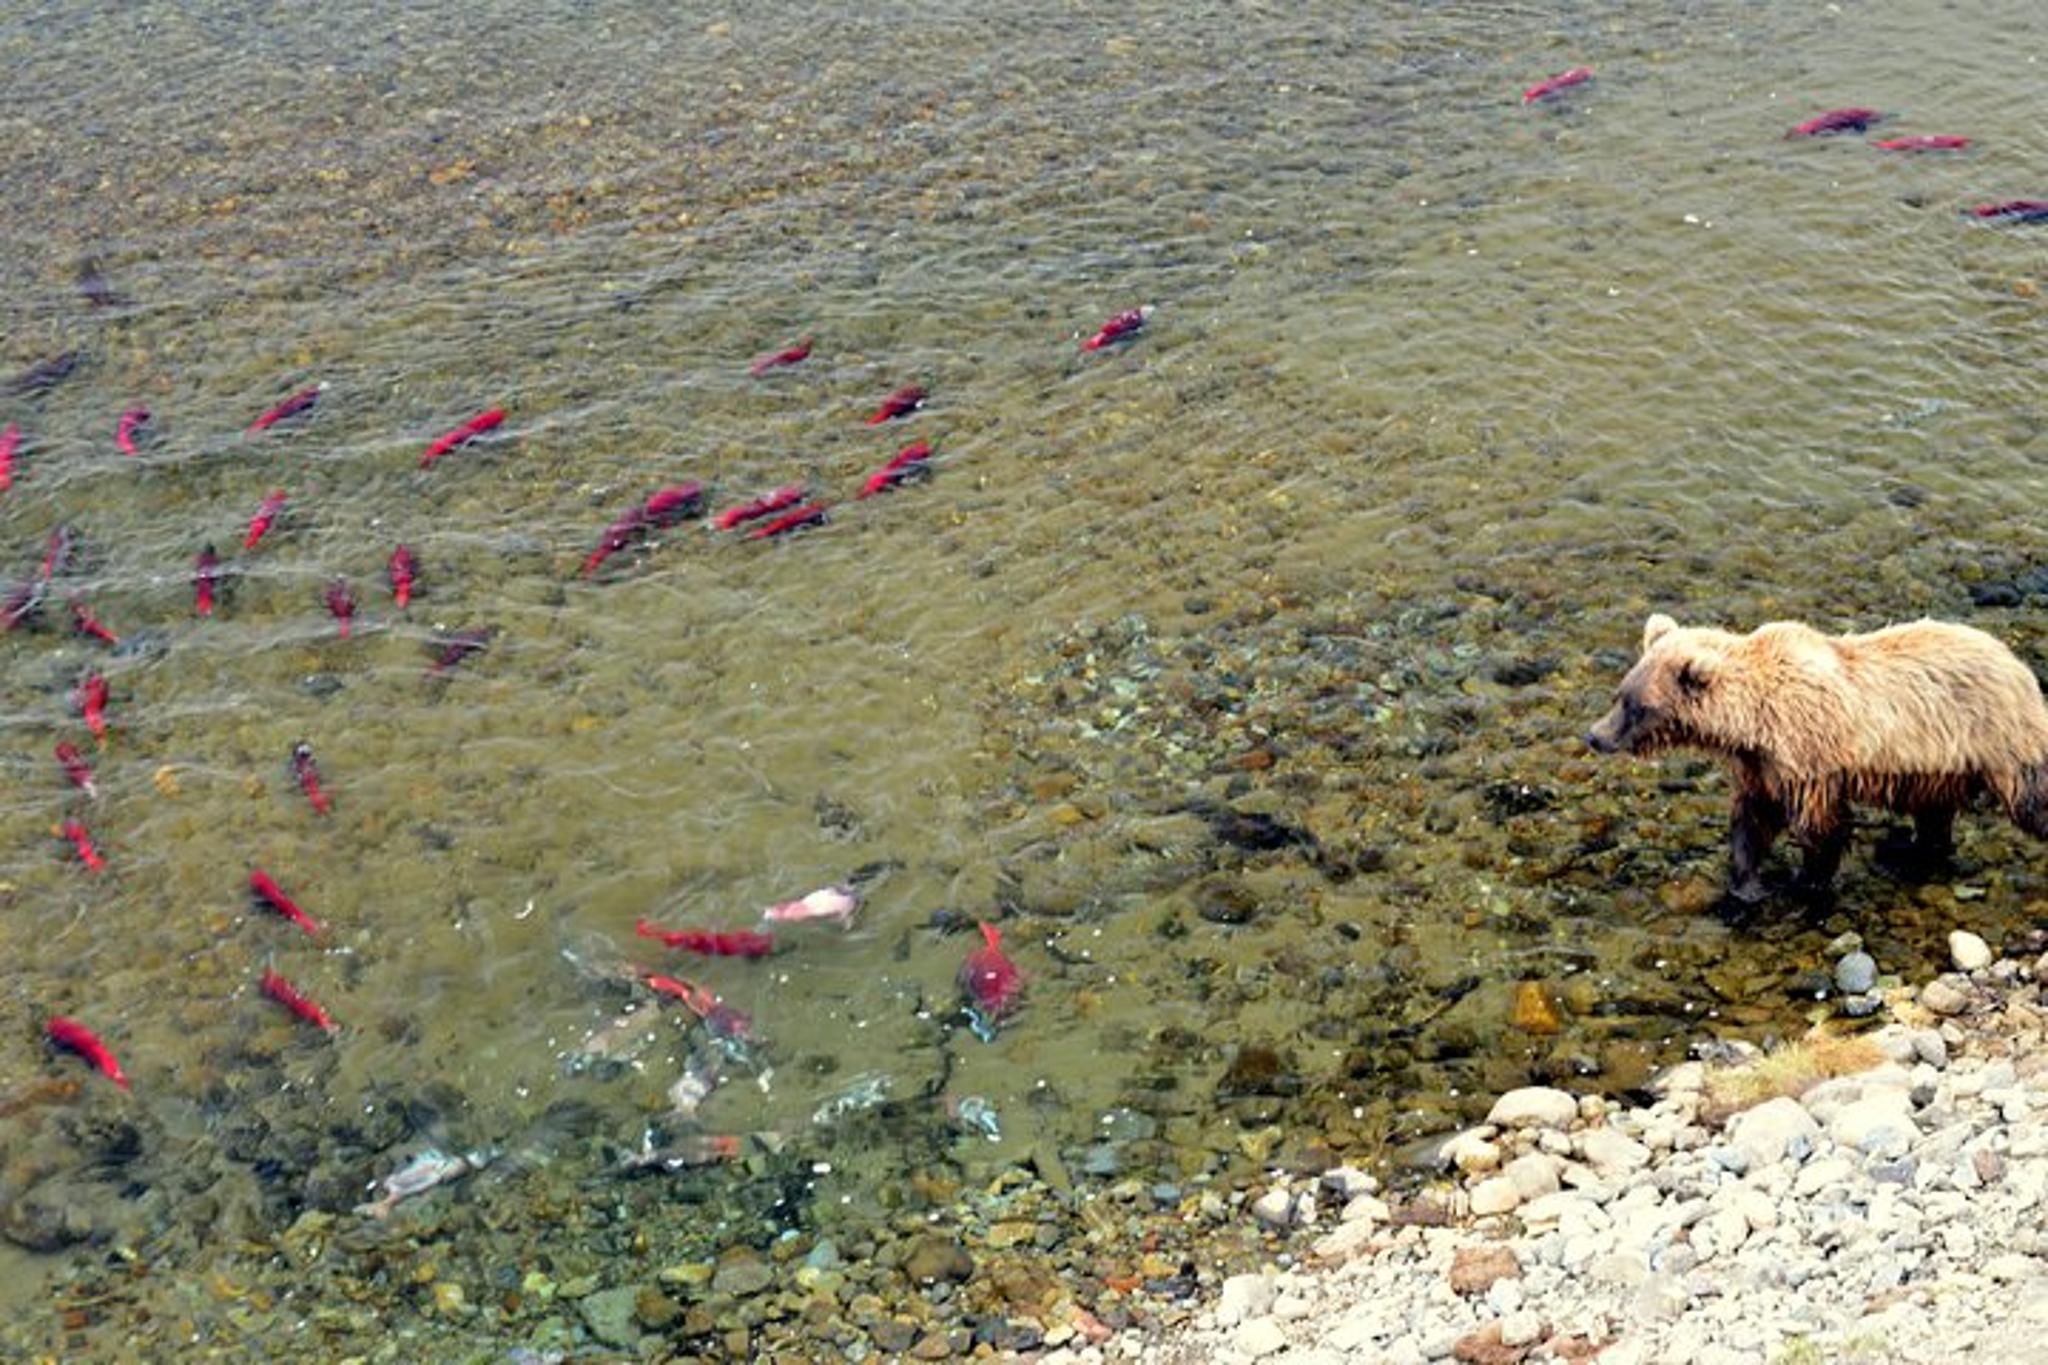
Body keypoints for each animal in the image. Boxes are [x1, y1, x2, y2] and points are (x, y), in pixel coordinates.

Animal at [1586, 612, 2048, 904]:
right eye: (1619, 695)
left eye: (1637, 707)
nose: (1594, 735)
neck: (1752, 722)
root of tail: (2018, 665)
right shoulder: (1761, 766)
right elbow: (1752, 820)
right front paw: (1746, 883)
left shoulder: (1809, 756)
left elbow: (1821, 826)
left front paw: (1806, 883)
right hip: (1935, 767)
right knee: (1933, 815)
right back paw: (1908, 852)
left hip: (1998, 739)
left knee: (2031, 798)